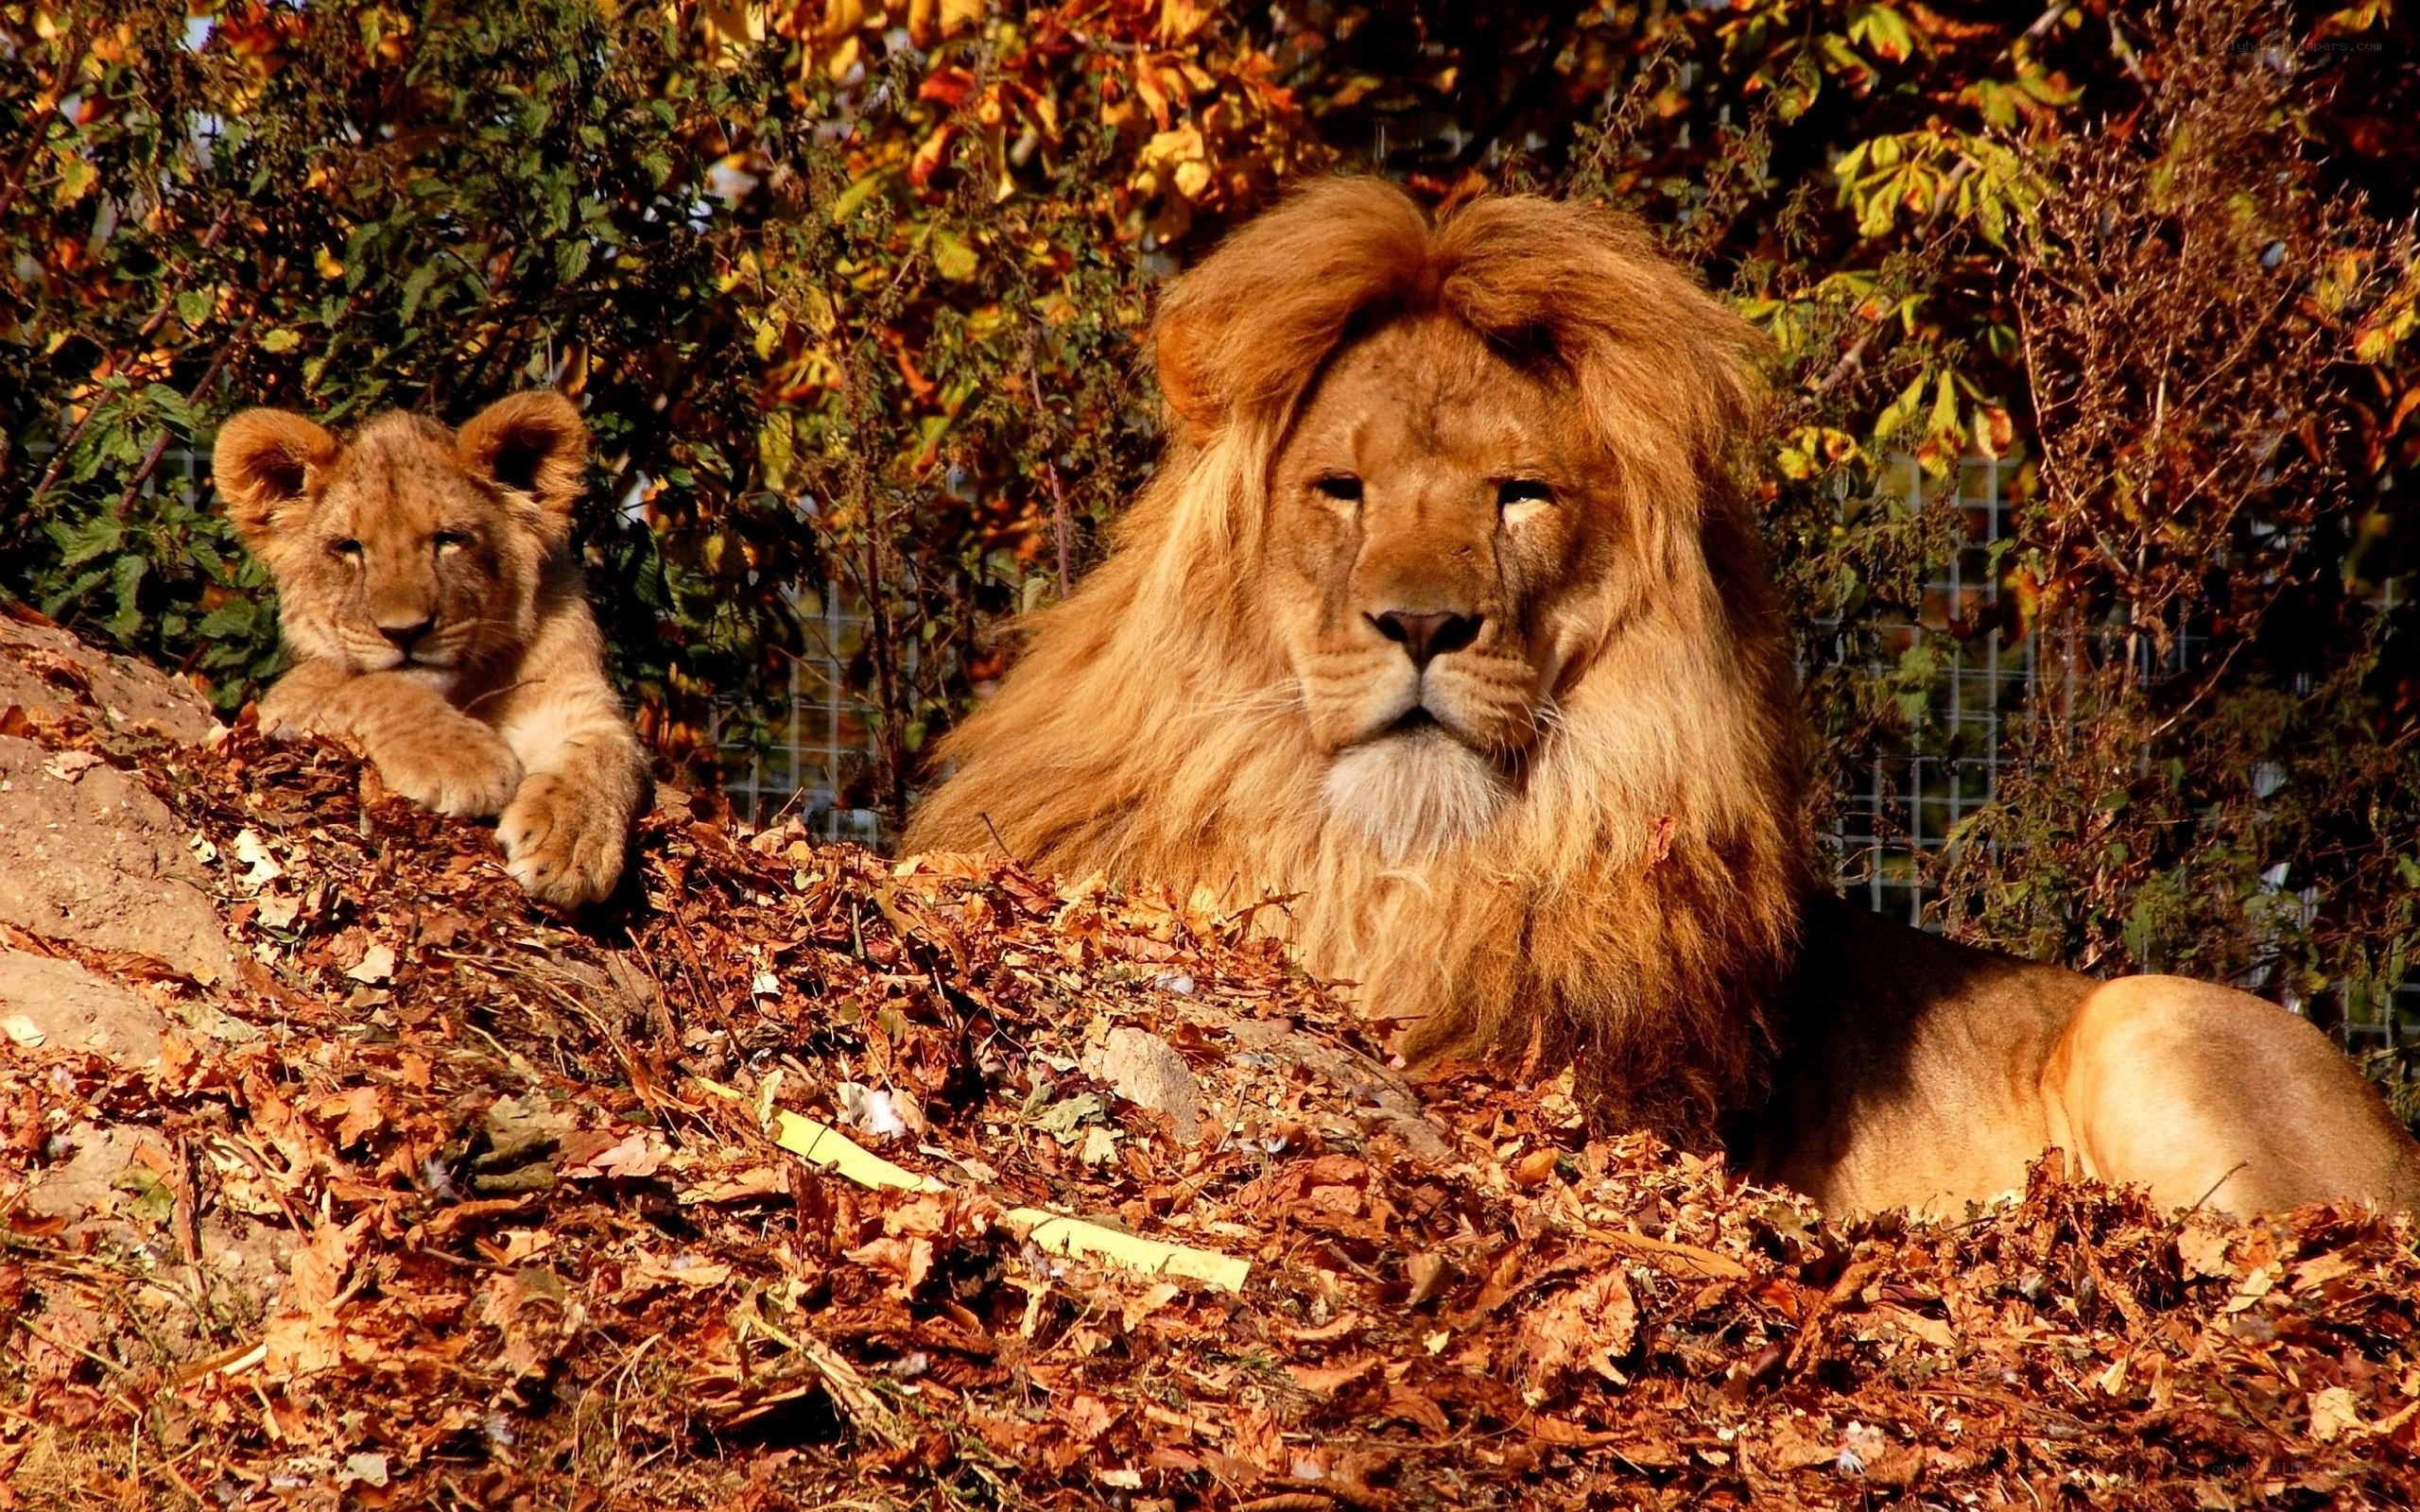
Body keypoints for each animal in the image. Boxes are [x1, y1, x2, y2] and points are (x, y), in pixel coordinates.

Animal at [213, 391, 650, 911]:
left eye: (448, 540)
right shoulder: (283, 701)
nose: (405, 632)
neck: (462, 687)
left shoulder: (576, 700)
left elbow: (605, 756)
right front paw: (463, 760)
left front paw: (571, 842)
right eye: (349, 547)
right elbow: (378, 687)